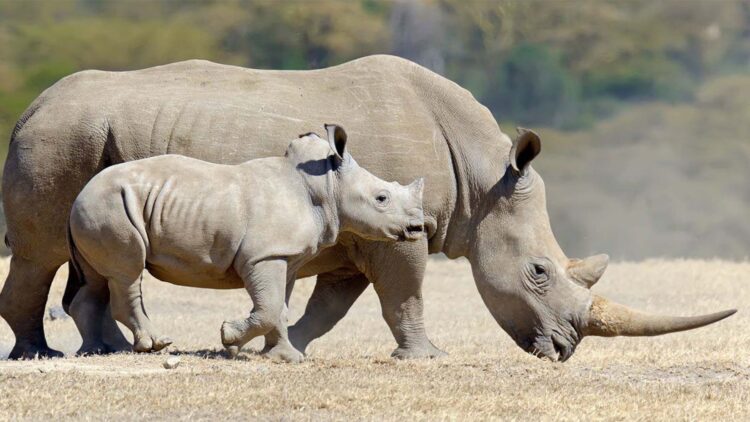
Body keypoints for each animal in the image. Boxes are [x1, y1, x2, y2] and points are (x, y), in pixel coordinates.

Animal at [67, 124, 425, 362]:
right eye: (382, 198)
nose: (418, 227)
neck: (327, 187)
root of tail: (79, 195)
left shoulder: (285, 257)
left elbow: (279, 307)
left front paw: (285, 357)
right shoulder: (263, 256)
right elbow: (269, 307)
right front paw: (229, 338)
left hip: (98, 208)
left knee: (98, 278)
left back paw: (102, 349)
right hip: (109, 205)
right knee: (127, 273)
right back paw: (154, 345)